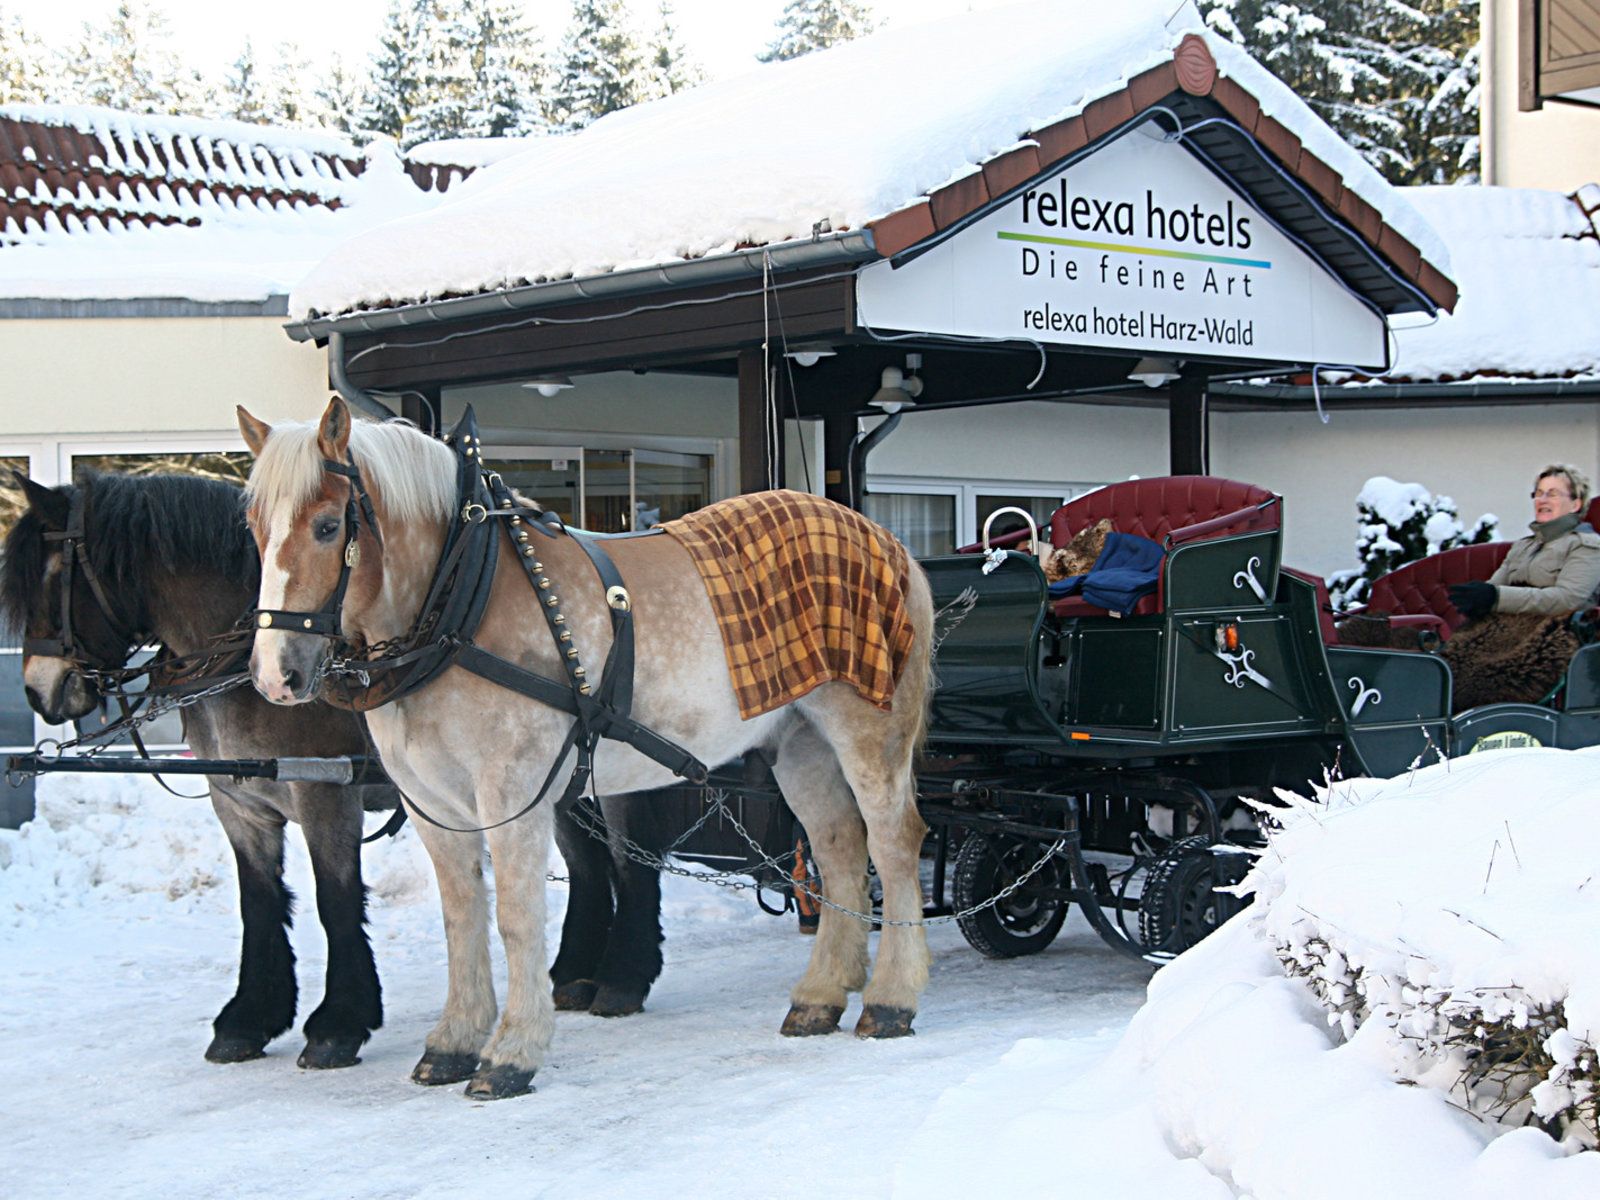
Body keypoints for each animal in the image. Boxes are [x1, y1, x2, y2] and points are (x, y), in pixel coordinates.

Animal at [1, 470, 393, 1068]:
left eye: (49, 582)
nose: (37, 692)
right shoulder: (238, 800)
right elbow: (258, 899)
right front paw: (250, 1018)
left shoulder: (326, 791)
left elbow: (337, 898)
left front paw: (339, 1024)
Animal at [236, 400, 934, 1107]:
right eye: (254, 526)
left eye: (328, 526)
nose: (275, 676)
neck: (460, 598)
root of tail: (886, 540)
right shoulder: (433, 804)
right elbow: (462, 917)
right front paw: (454, 1042)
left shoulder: (512, 793)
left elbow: (516, 918)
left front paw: (512, 1052)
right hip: (799, 742)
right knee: (839, 848)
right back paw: (820, 996)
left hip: (869, 732)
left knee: (893, 844)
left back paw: (891, 1000)